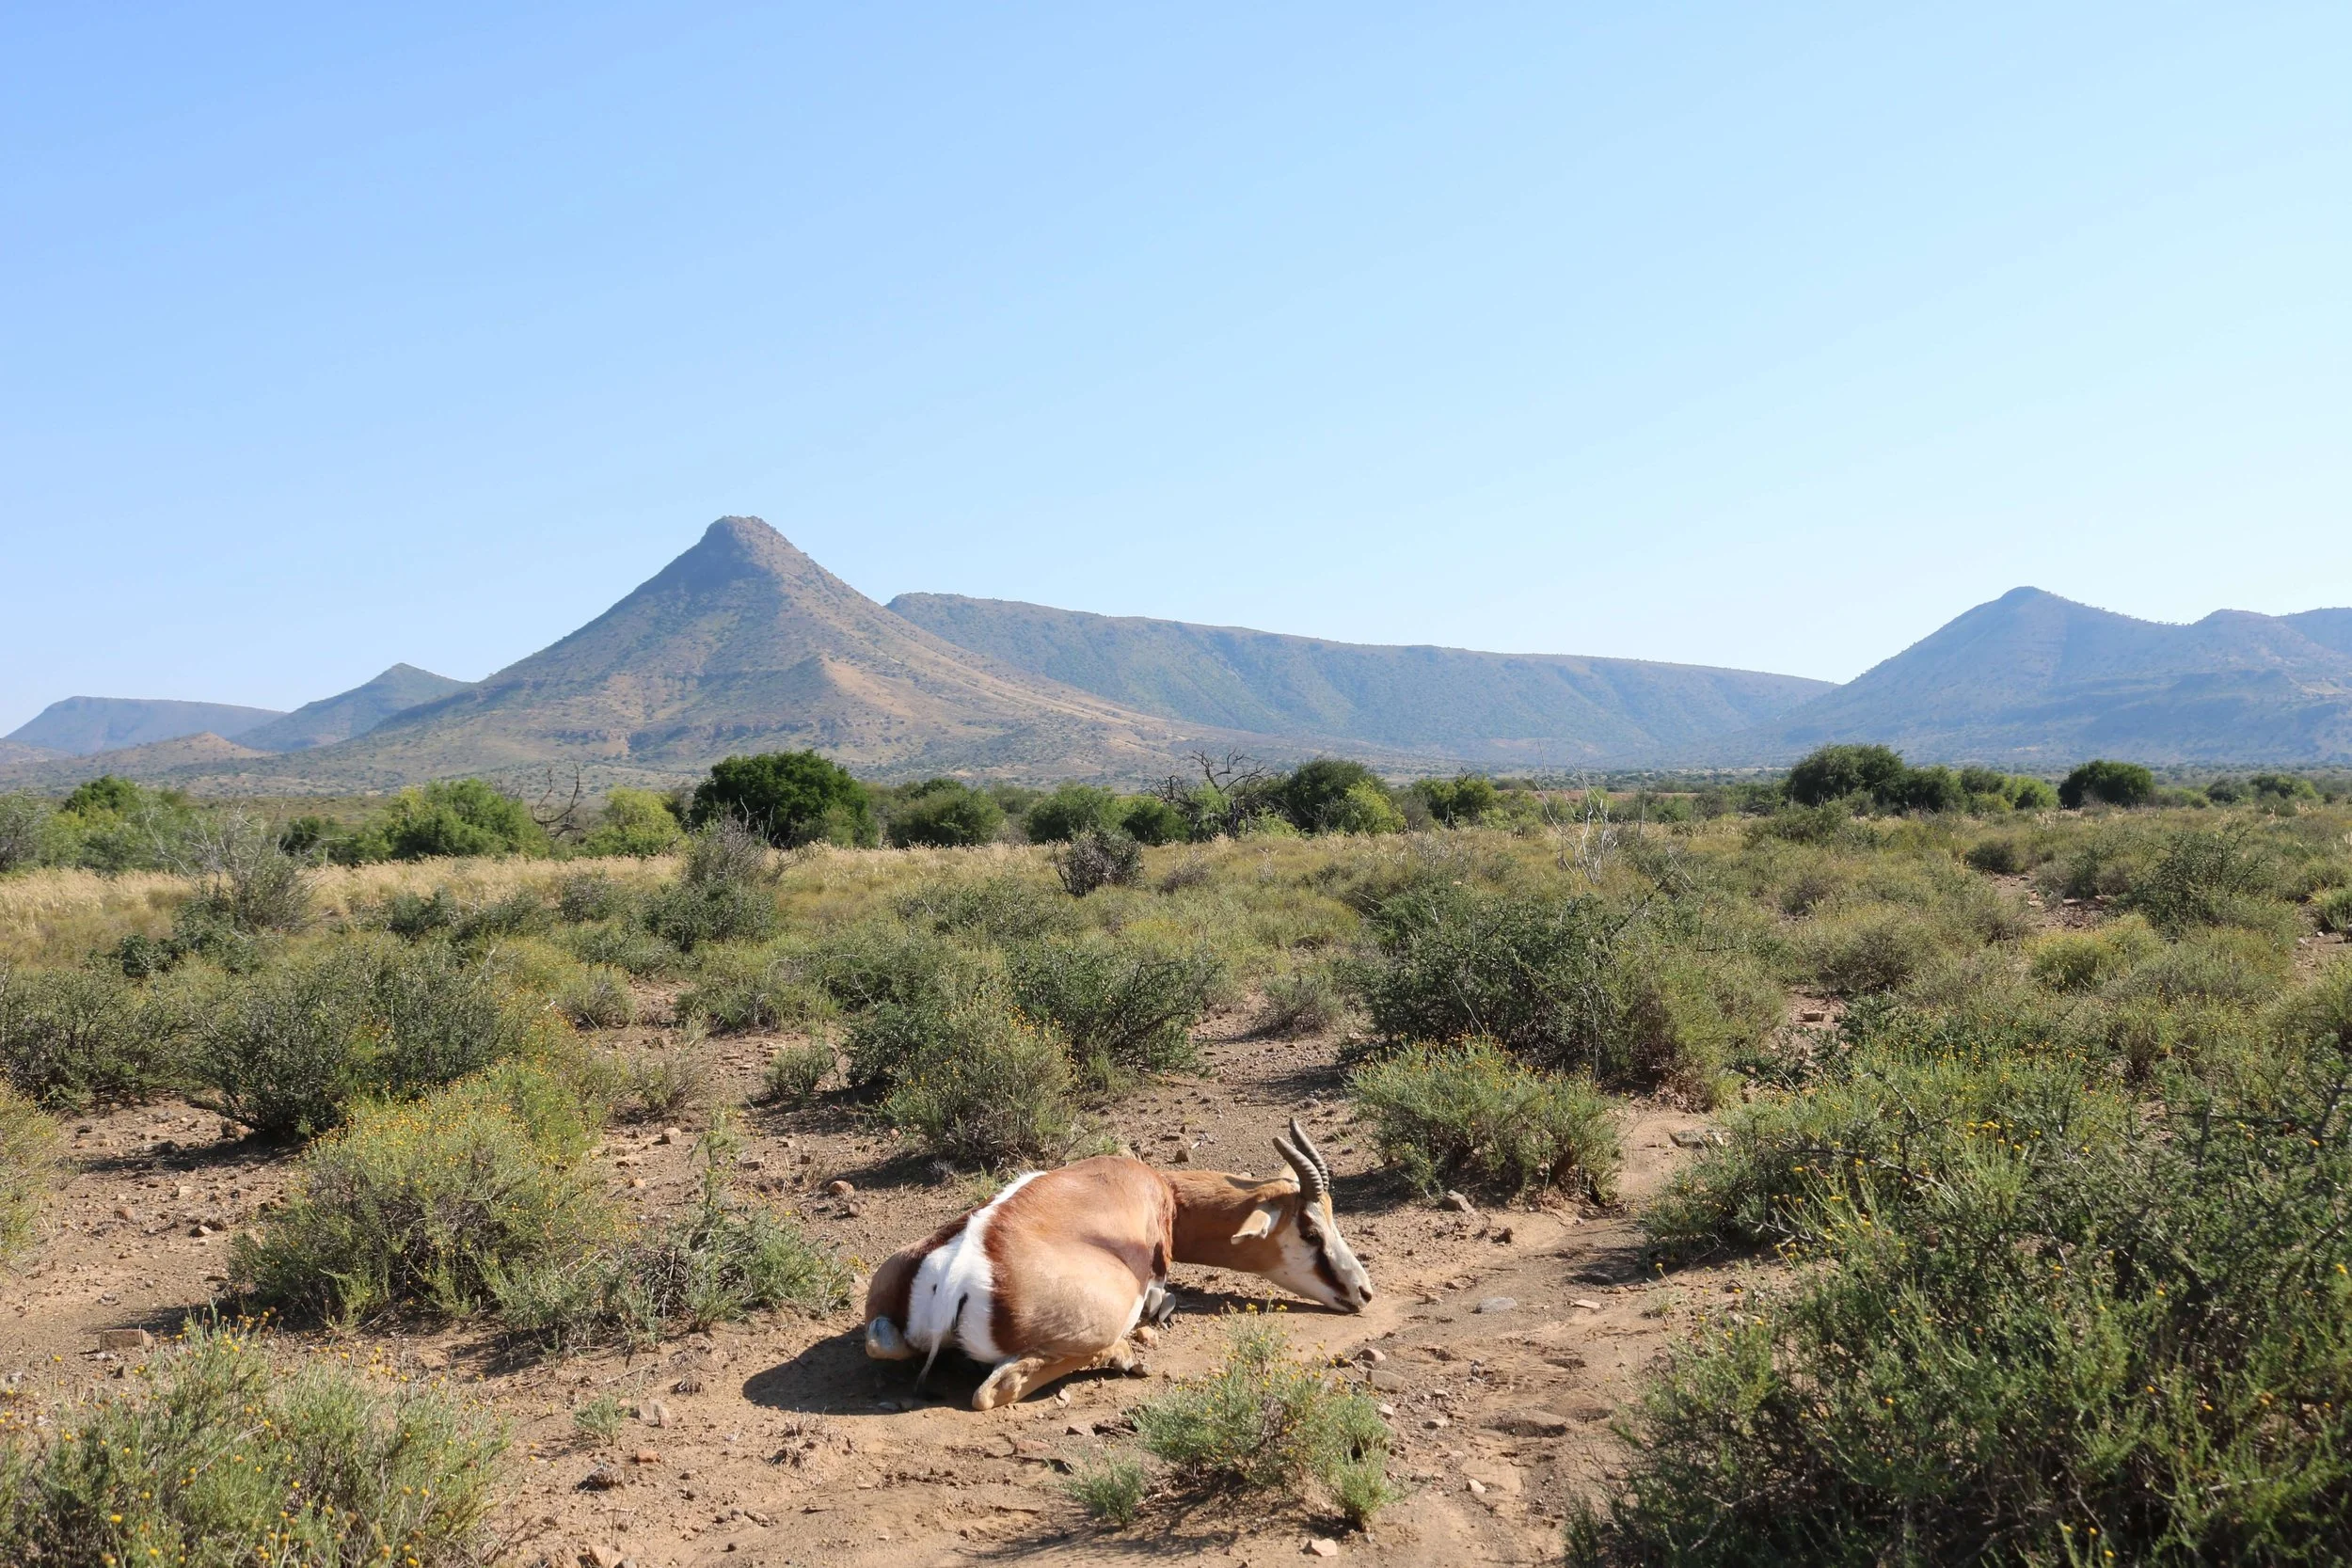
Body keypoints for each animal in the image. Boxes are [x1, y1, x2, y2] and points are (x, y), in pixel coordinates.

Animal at [863, 1119, 1372, 1409]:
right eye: (1311, 1232)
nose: (1363, 1292)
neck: (1159, 1189)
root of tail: (956, 1279)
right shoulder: (1154, 1278)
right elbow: (1164, 1299)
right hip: (1105, 1312)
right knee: (992, 1391)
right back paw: (1125, 1357)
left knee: (881, 1345)